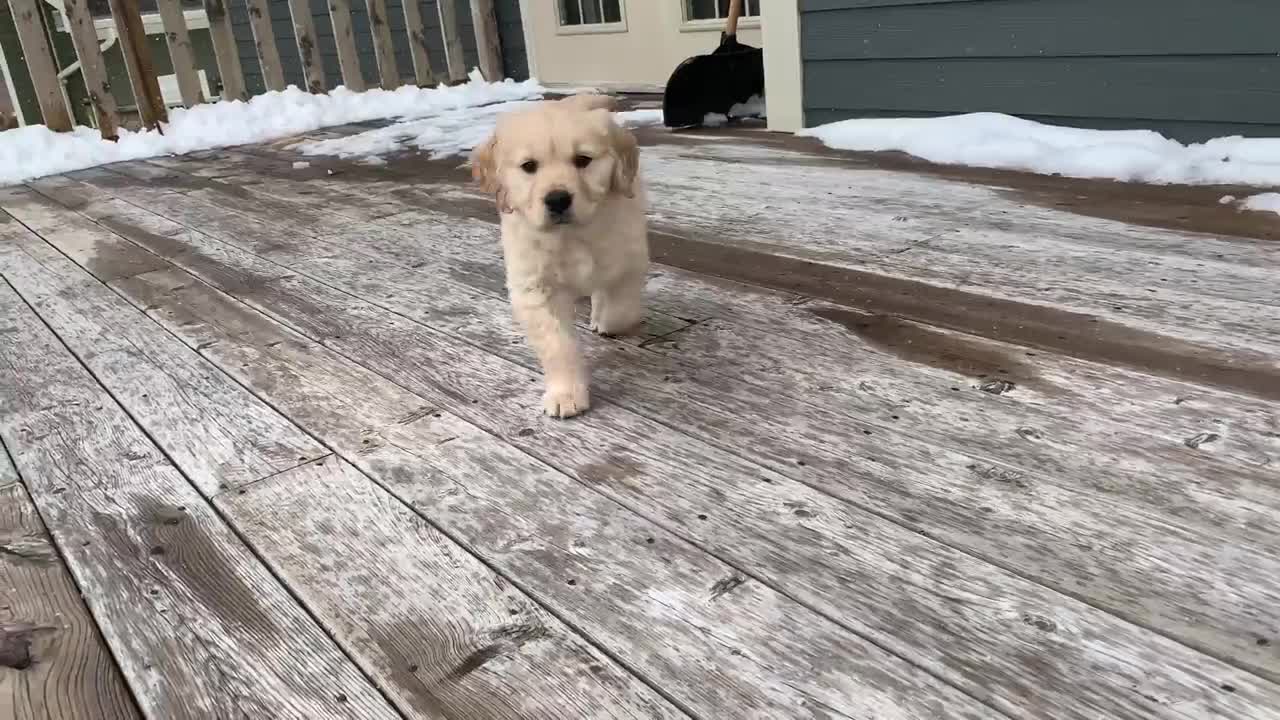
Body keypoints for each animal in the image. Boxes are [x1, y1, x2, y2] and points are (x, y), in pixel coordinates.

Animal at [471, 92, 645, 417]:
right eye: (529, 166)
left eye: (583, 161)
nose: (558, 200)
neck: (570, 236)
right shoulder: (535, 287)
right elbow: (557, 345)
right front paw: (566, 394)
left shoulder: (628, 258)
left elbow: (621, 309)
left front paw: (606, 319)